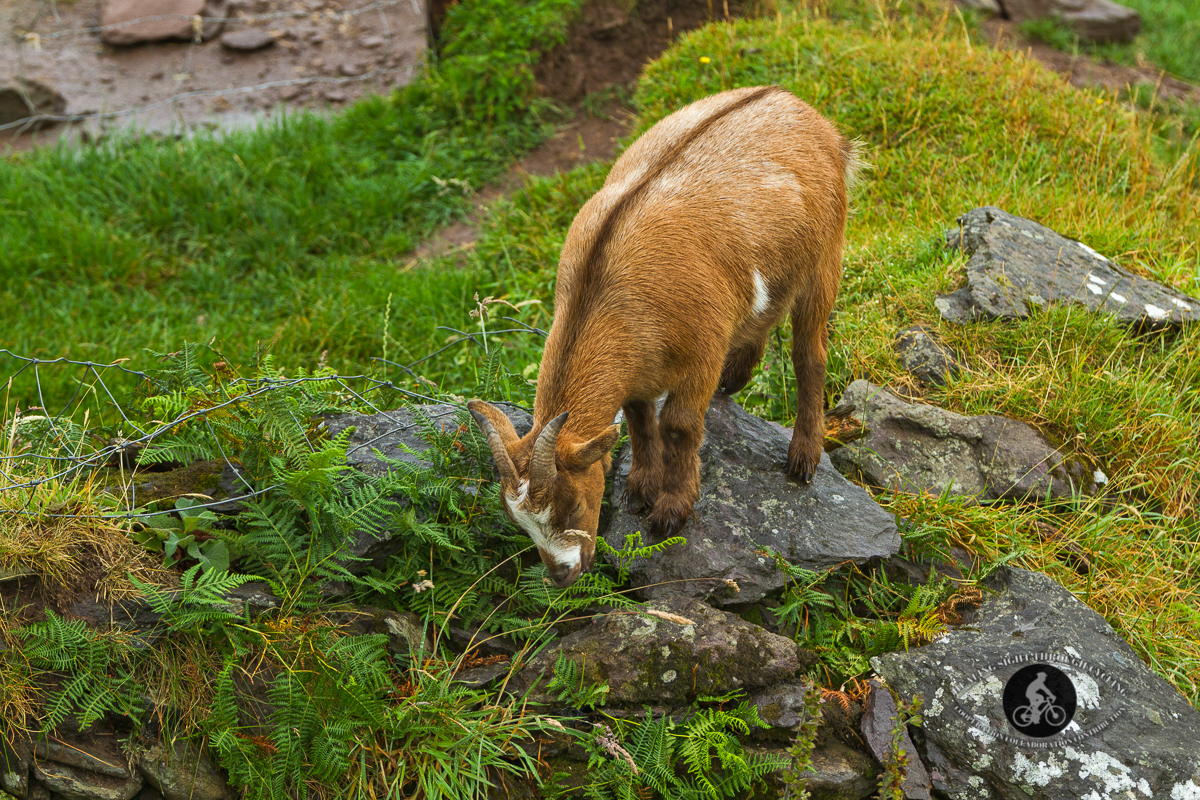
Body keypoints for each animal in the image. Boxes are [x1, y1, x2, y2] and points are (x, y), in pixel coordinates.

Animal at [465, 86, 854, 587]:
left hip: (826, 256)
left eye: (572, 504)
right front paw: (639, 488)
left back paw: (804, 457)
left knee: (810, 353)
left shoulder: (702, 352)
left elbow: (679, 425)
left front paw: (671, 510)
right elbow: (636, 416)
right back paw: (736, 378)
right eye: (520, 523)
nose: (563, 575)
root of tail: (802, 109)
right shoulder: (638, 363)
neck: (604, 288)